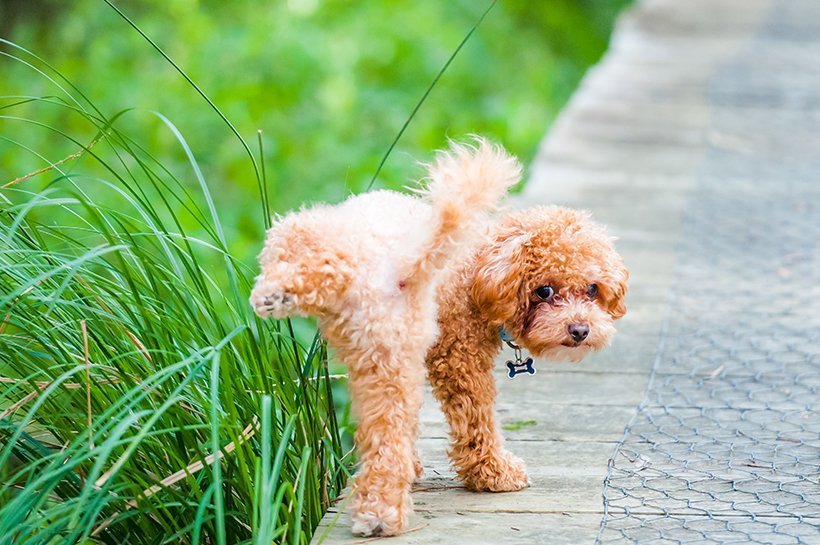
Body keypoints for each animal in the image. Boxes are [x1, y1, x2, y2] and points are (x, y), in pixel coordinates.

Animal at [248, 138, 520, 532]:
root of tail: (406, 267)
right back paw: (380, 512)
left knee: (320, 265)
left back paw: (273, 295)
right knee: (388, 440)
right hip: (389, 362)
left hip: (319, 240)